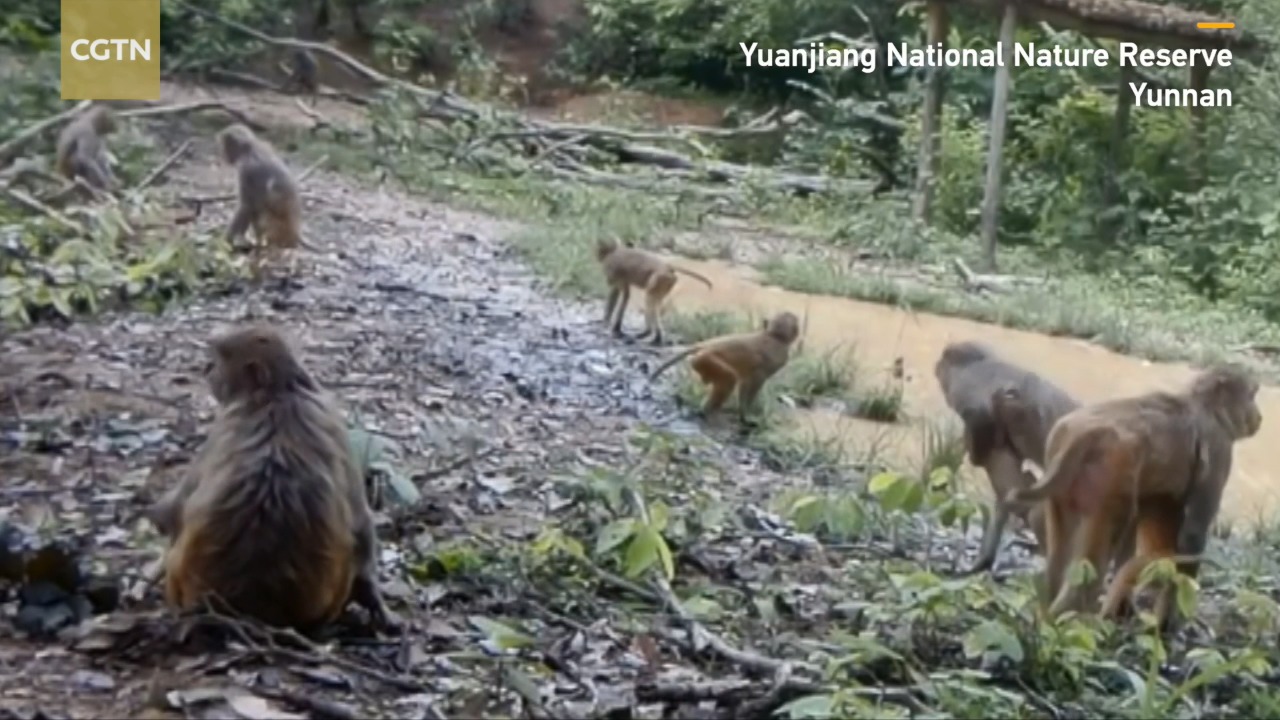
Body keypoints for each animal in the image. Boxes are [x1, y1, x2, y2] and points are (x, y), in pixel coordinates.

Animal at [161, 325, 400, 633]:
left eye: (219, 362)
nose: (206, 369)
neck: (279, 394)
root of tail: (254, 604)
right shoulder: (333, 420)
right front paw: (373, 597)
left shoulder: (222, 428)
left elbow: (176, 510)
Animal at [648, 311, 800, 423]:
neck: (774, 336)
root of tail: (703, 345)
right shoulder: (780, 357)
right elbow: (754, 380)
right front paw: (745, 413)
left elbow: (746, 380)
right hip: (708, 360)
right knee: (729, 378)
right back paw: (708, 410)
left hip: (702, 362)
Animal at [1006, 364, 1261, 626]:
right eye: (1252, 395)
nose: (1258, 417)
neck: (1202, 403)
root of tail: (1084, 435)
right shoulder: (1220, 447)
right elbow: (1192, 535)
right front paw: (1170, 618)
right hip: (1113, 470)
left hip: (1061, 467)